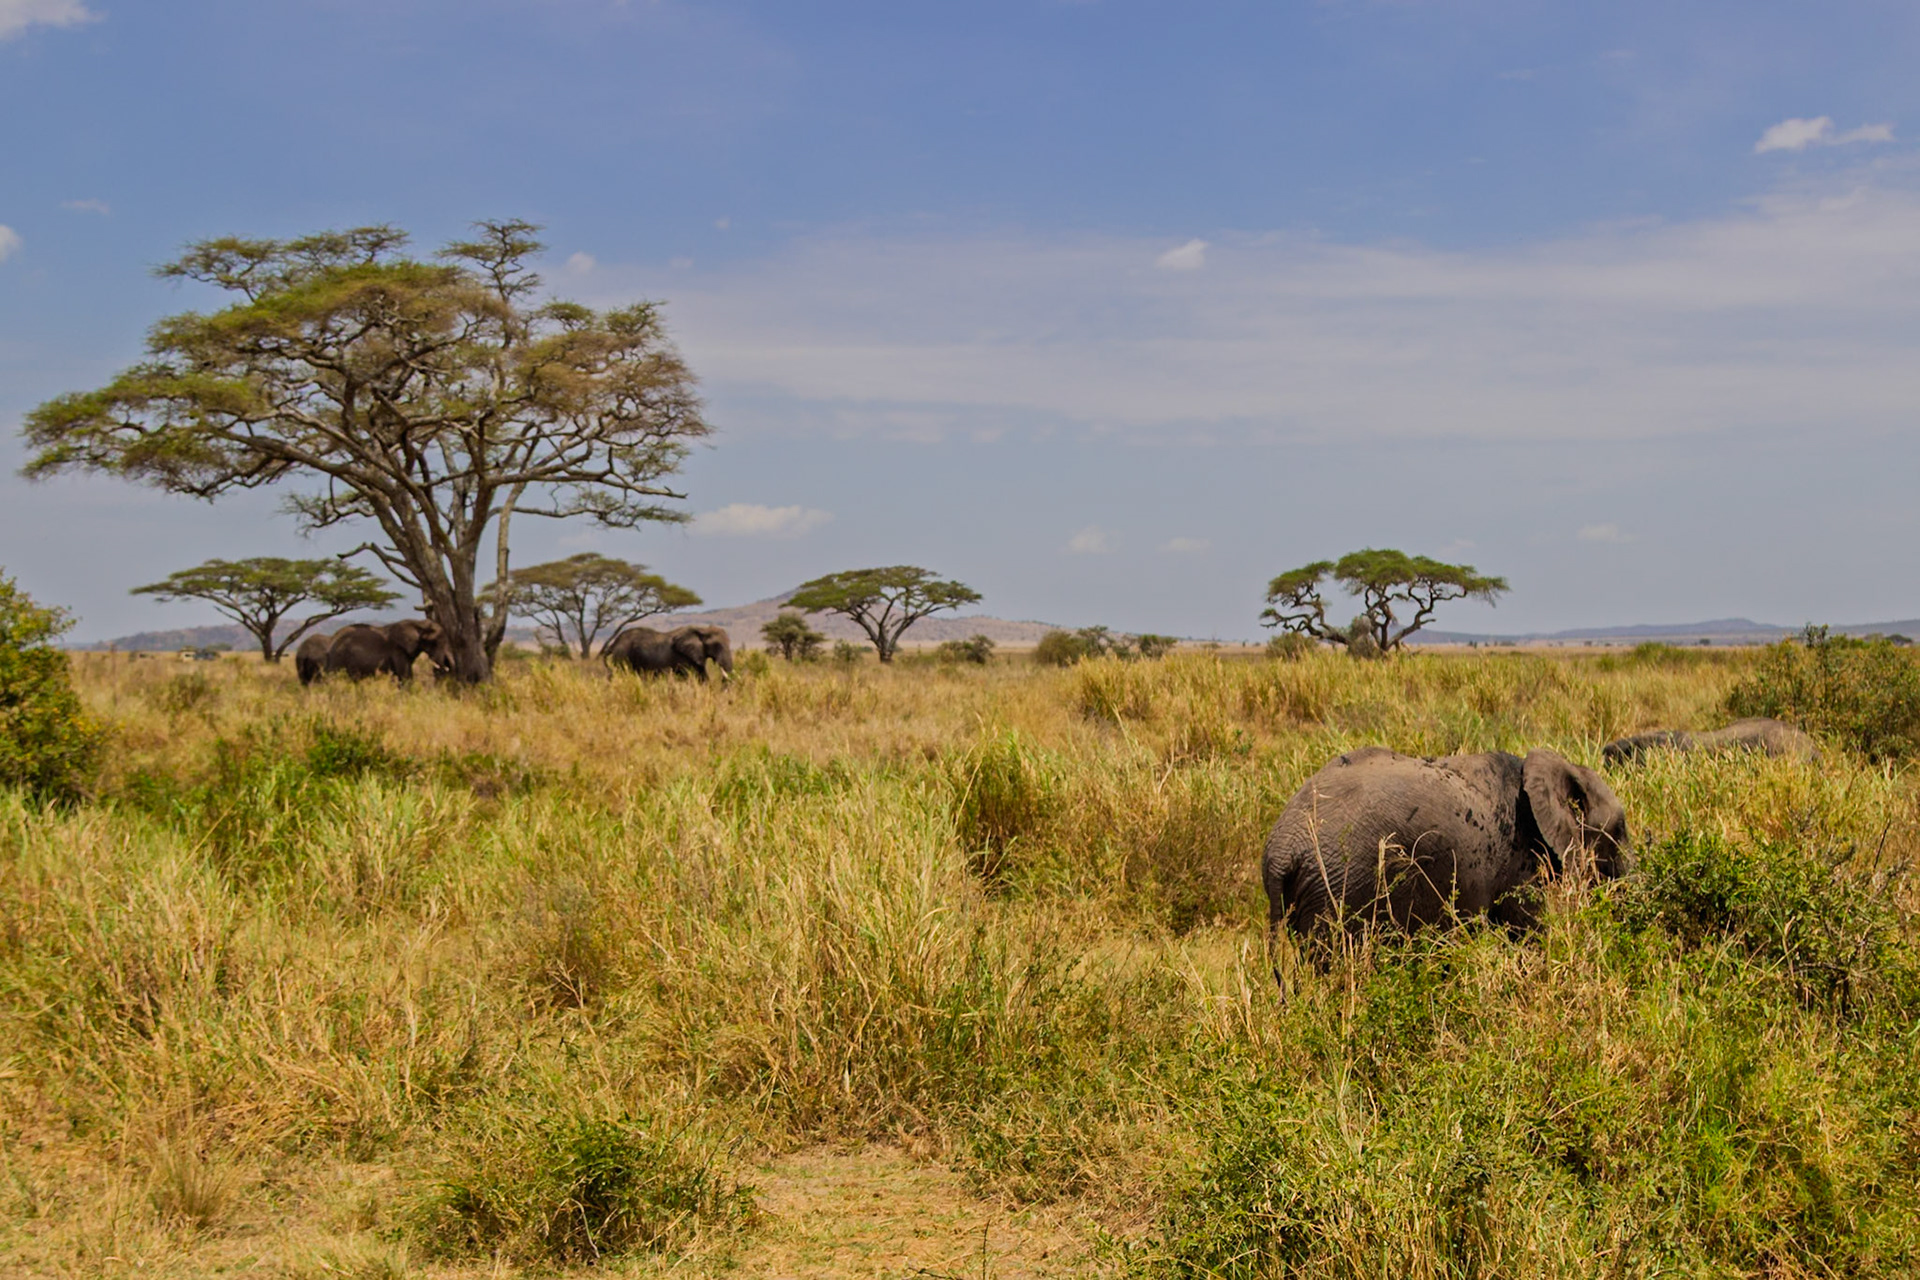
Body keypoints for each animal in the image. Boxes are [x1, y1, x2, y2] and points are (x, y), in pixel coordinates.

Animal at [601, 625, 734, 681]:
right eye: (717, 645)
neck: (702, 629)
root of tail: (614, 643)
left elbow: (703, 677)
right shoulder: (683, 657)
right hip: (623, 656)